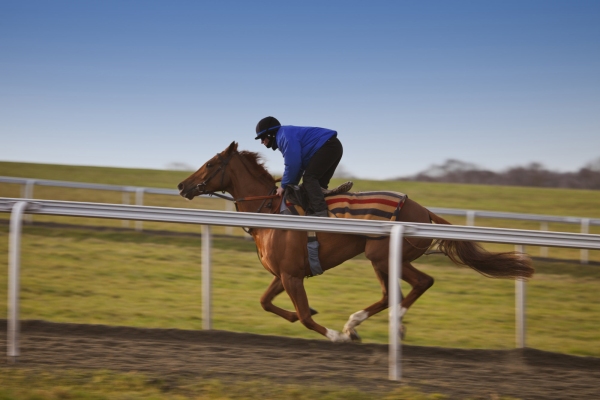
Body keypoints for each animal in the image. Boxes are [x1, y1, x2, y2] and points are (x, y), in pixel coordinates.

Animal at [178, 142, 536, 342]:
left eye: (210, 164)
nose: (182, 185)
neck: (270, 211)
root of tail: (425, 211)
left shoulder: (292, 275)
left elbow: (305, 316)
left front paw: (335, 335)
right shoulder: (285, 274)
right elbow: (267, 302)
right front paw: (319, 320)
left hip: (384, 255)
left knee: (417, 284)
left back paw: (378, 324)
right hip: (382, 259)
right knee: (393, 294)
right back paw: (361, 324)